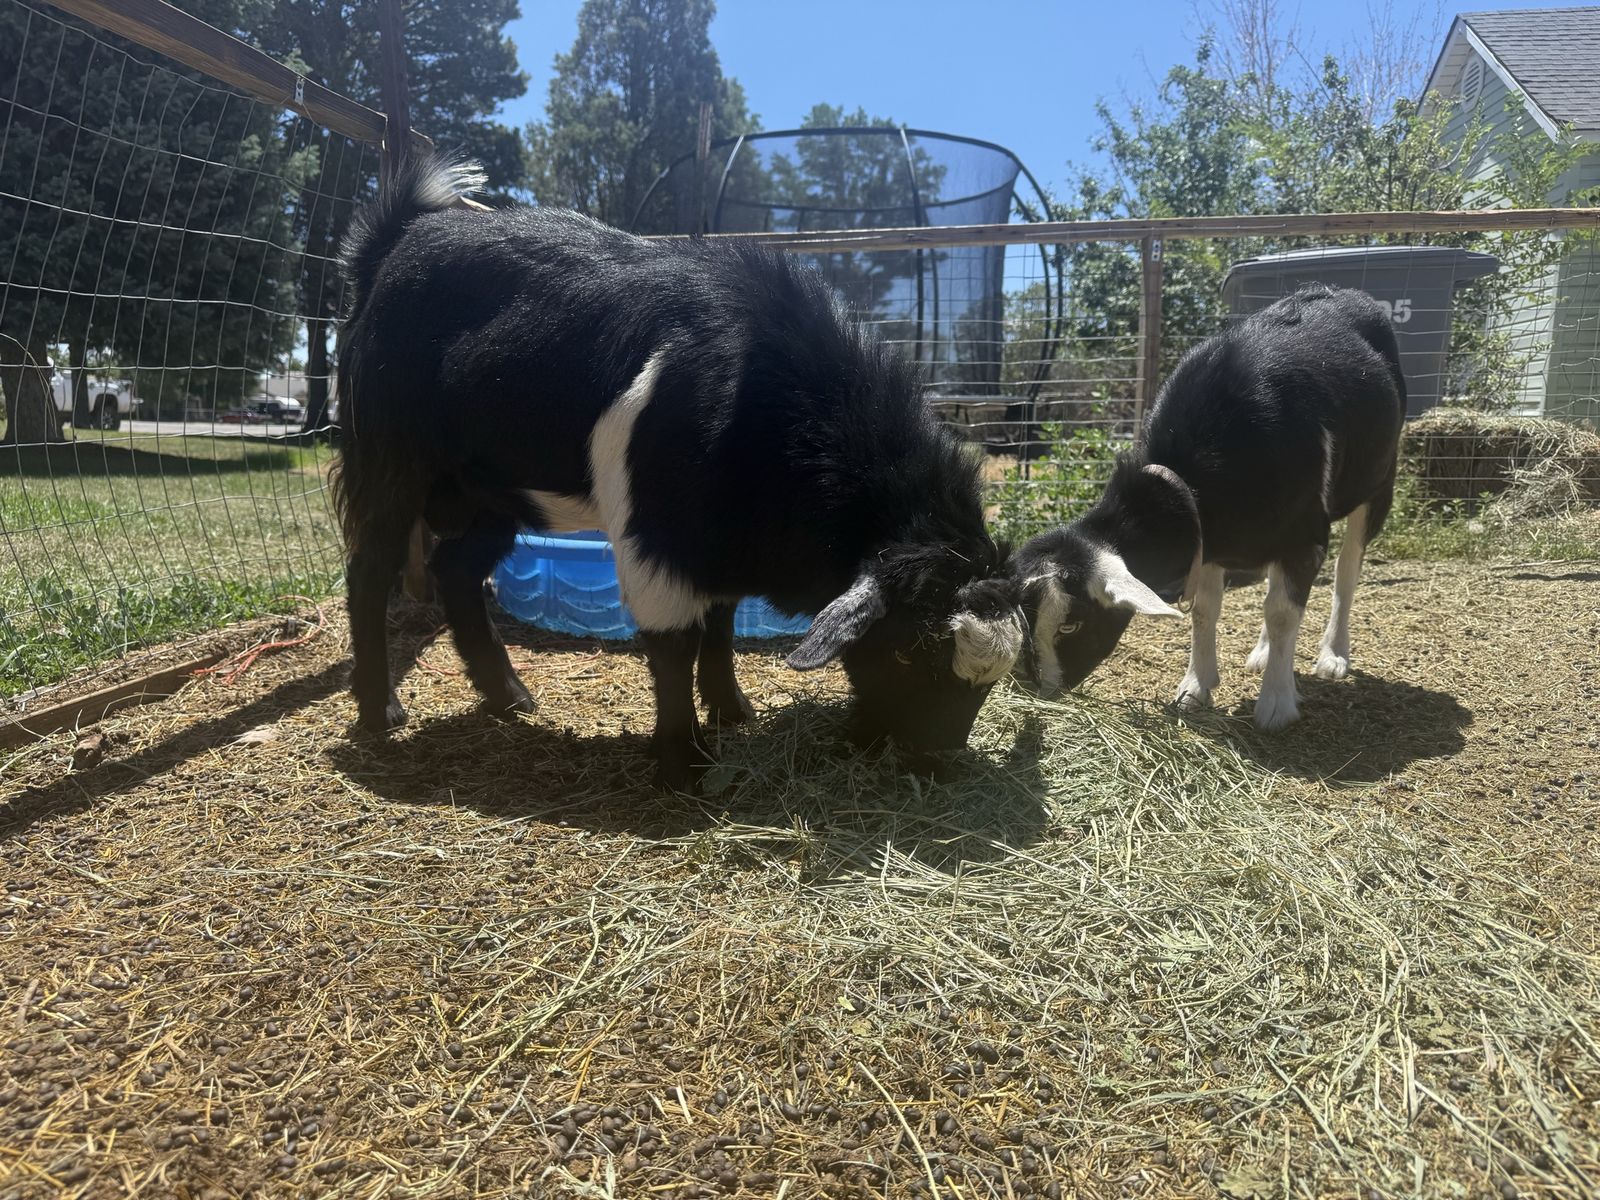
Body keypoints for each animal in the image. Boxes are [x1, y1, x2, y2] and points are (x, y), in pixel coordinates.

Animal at [333, 155, 1023, 787]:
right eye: (906, 654)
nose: (935, 758)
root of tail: (397, 241)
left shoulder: (721, 536)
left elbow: (719, 624)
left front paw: (732, 711)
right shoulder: (657, 530)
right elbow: (673, 643)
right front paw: (682, 760)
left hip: (491, 492)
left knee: (455, 567)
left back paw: (510, 697)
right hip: (390, 458)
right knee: (369, 569)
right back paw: (379, 711)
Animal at [1009, 284, 1405, 730]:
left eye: (1071, 626)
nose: (1036, 688)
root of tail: (1341, 292)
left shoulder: (1304, 538)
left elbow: (1284, 612)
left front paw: (1276, 704)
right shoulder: (1211, 537)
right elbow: (1206, 609)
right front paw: (1195, 689)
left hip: (1378, 481)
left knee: (1346, 570)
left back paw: (1333, 655)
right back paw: (1264, 652)